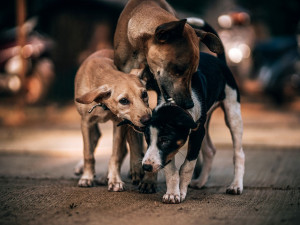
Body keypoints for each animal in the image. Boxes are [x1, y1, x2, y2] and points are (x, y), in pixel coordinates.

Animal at [74, 49, 151, 192]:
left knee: (127, 147)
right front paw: (87, 177)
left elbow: (115, 155)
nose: (148, 119)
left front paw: (115, 180)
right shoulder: (86, 122)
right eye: (123, 101)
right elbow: (88, 153)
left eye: (144, 94)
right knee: (95, 139)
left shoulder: (119, 123)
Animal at [139, 19, 245, 204]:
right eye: (147, 138)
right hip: (206, 121)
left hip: (233, 113)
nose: (146, 166)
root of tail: (221, 61)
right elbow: (171, 169)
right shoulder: (190, 135)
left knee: (238, 153)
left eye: (164, 140)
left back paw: (236, 185)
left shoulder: (196, 132)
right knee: (210, 150)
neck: (176, 104)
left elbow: (187, 166)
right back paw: (201, 181)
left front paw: (181, 191)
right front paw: (172, 193)